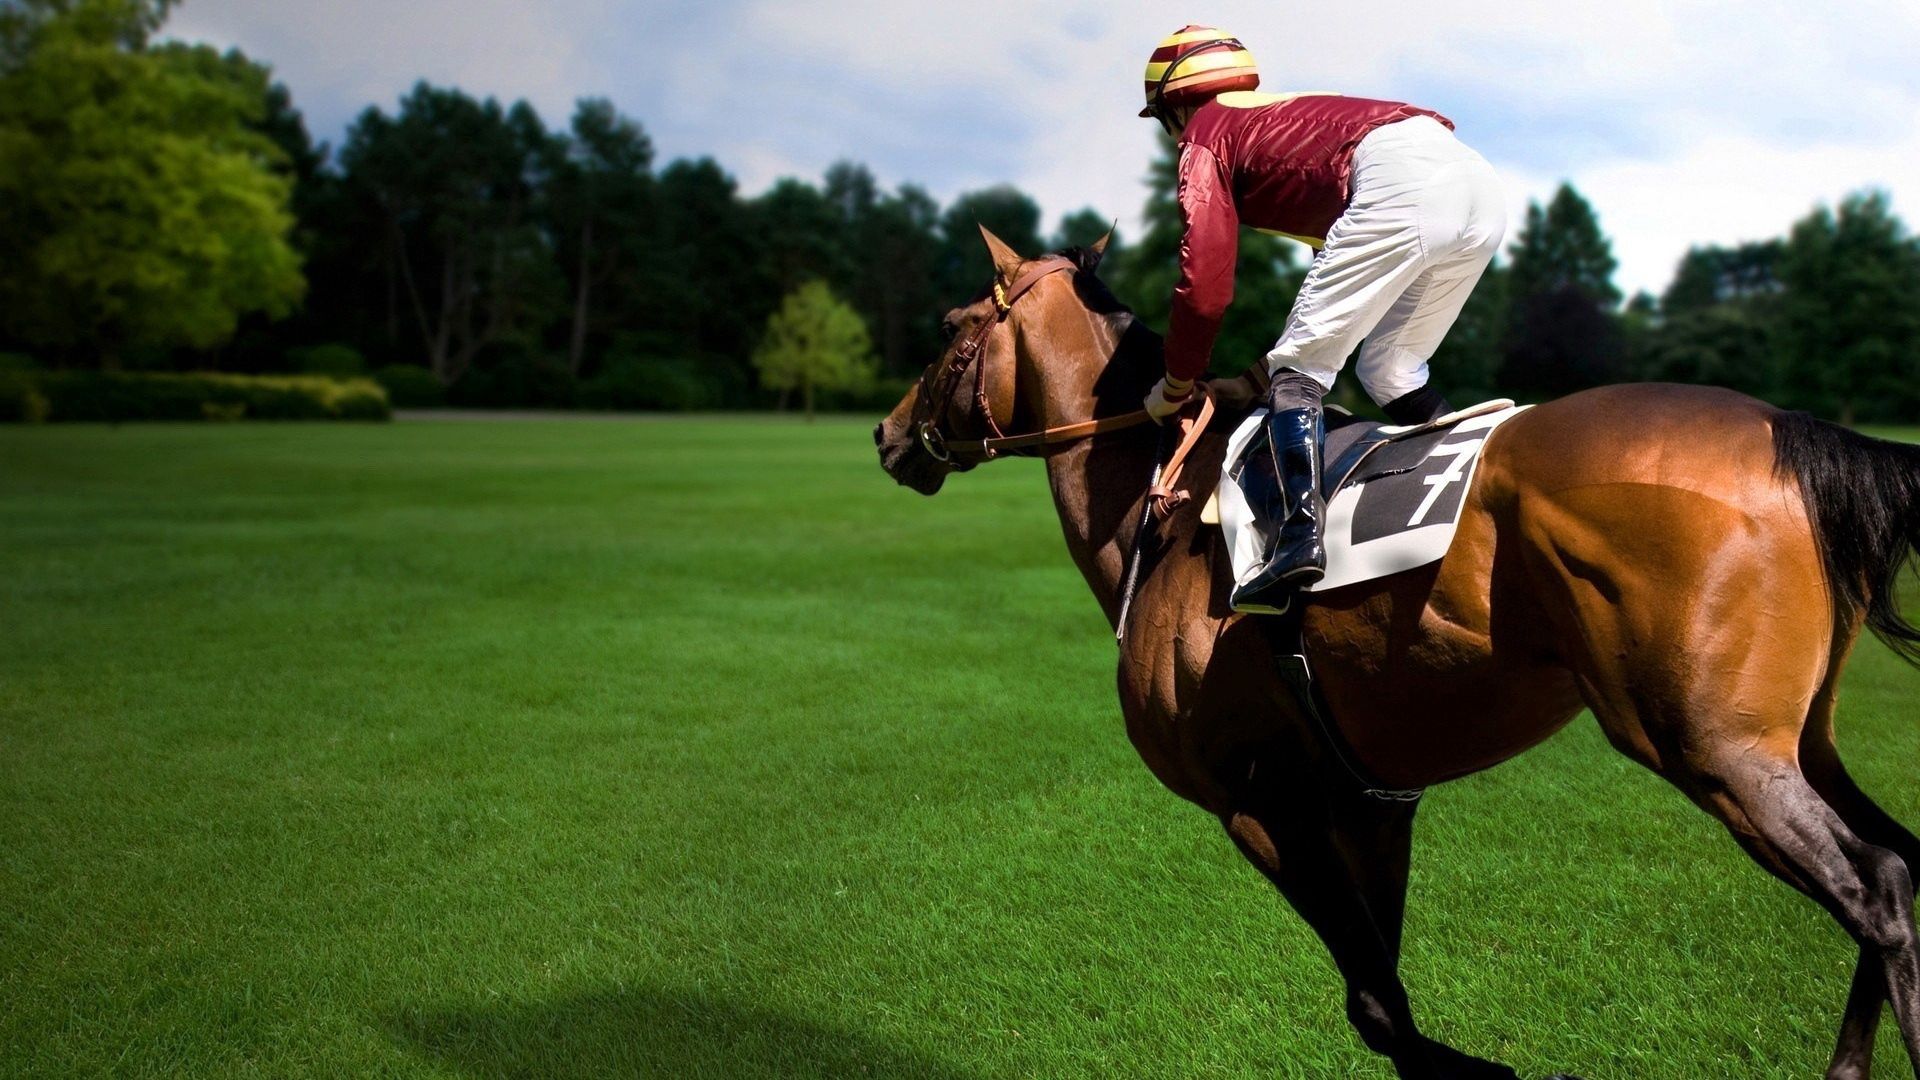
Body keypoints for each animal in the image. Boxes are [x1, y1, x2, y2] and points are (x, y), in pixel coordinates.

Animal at [879, 228, 1920, 1076]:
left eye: (951, 324)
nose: (889, 435)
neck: (1162, 506)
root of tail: (1791, 430)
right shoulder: (1370, 801)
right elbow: (1386, 996)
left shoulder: (1260, 801)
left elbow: (1376, 1007)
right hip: (1796, 740)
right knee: (1905, 858)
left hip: (1715, 748)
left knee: (1878, 887)